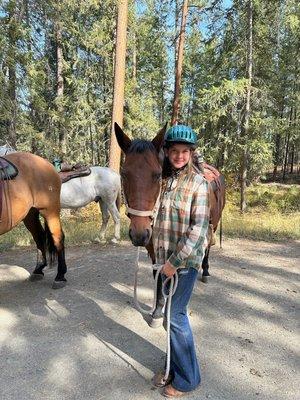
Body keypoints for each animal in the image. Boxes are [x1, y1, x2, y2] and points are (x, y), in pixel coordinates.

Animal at [0, 152, 67, 288]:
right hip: (30, 214)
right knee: (39, 236)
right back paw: (38, 270)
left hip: (50, 211)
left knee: (58, 237)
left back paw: (60, 276)